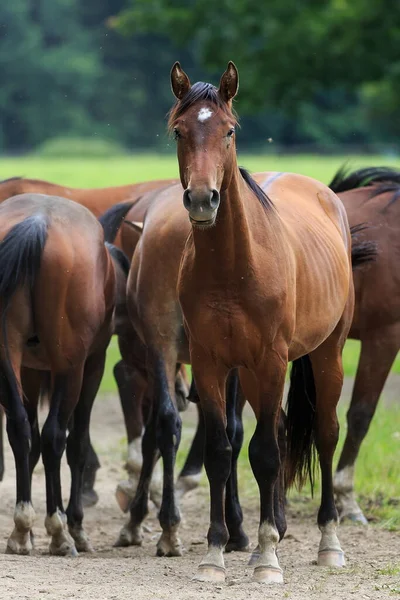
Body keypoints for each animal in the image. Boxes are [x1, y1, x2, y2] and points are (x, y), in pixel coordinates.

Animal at [0, 195, 130, 556]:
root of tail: (37, 222)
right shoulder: (92, 366)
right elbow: (78, 444)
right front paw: (74, 524)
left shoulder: (30, 370)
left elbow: (29, 443)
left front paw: (27, 531)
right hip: (71, 369)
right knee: (56, 436)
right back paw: (59, 531)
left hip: (7, 355)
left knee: (20, 429)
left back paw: (21, 529)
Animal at [172, 63, 356, 584]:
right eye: (179, 130)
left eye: (229, 131)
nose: (202, 200)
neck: (234, 266)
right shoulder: (211, 364)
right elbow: (221, 452)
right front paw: (215, 553)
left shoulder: (272, 360)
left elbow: (268, 455)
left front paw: (268, 558)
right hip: (253, 375)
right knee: (275, 432)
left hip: (326, 354)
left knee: (326, 433)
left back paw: (328, 543)